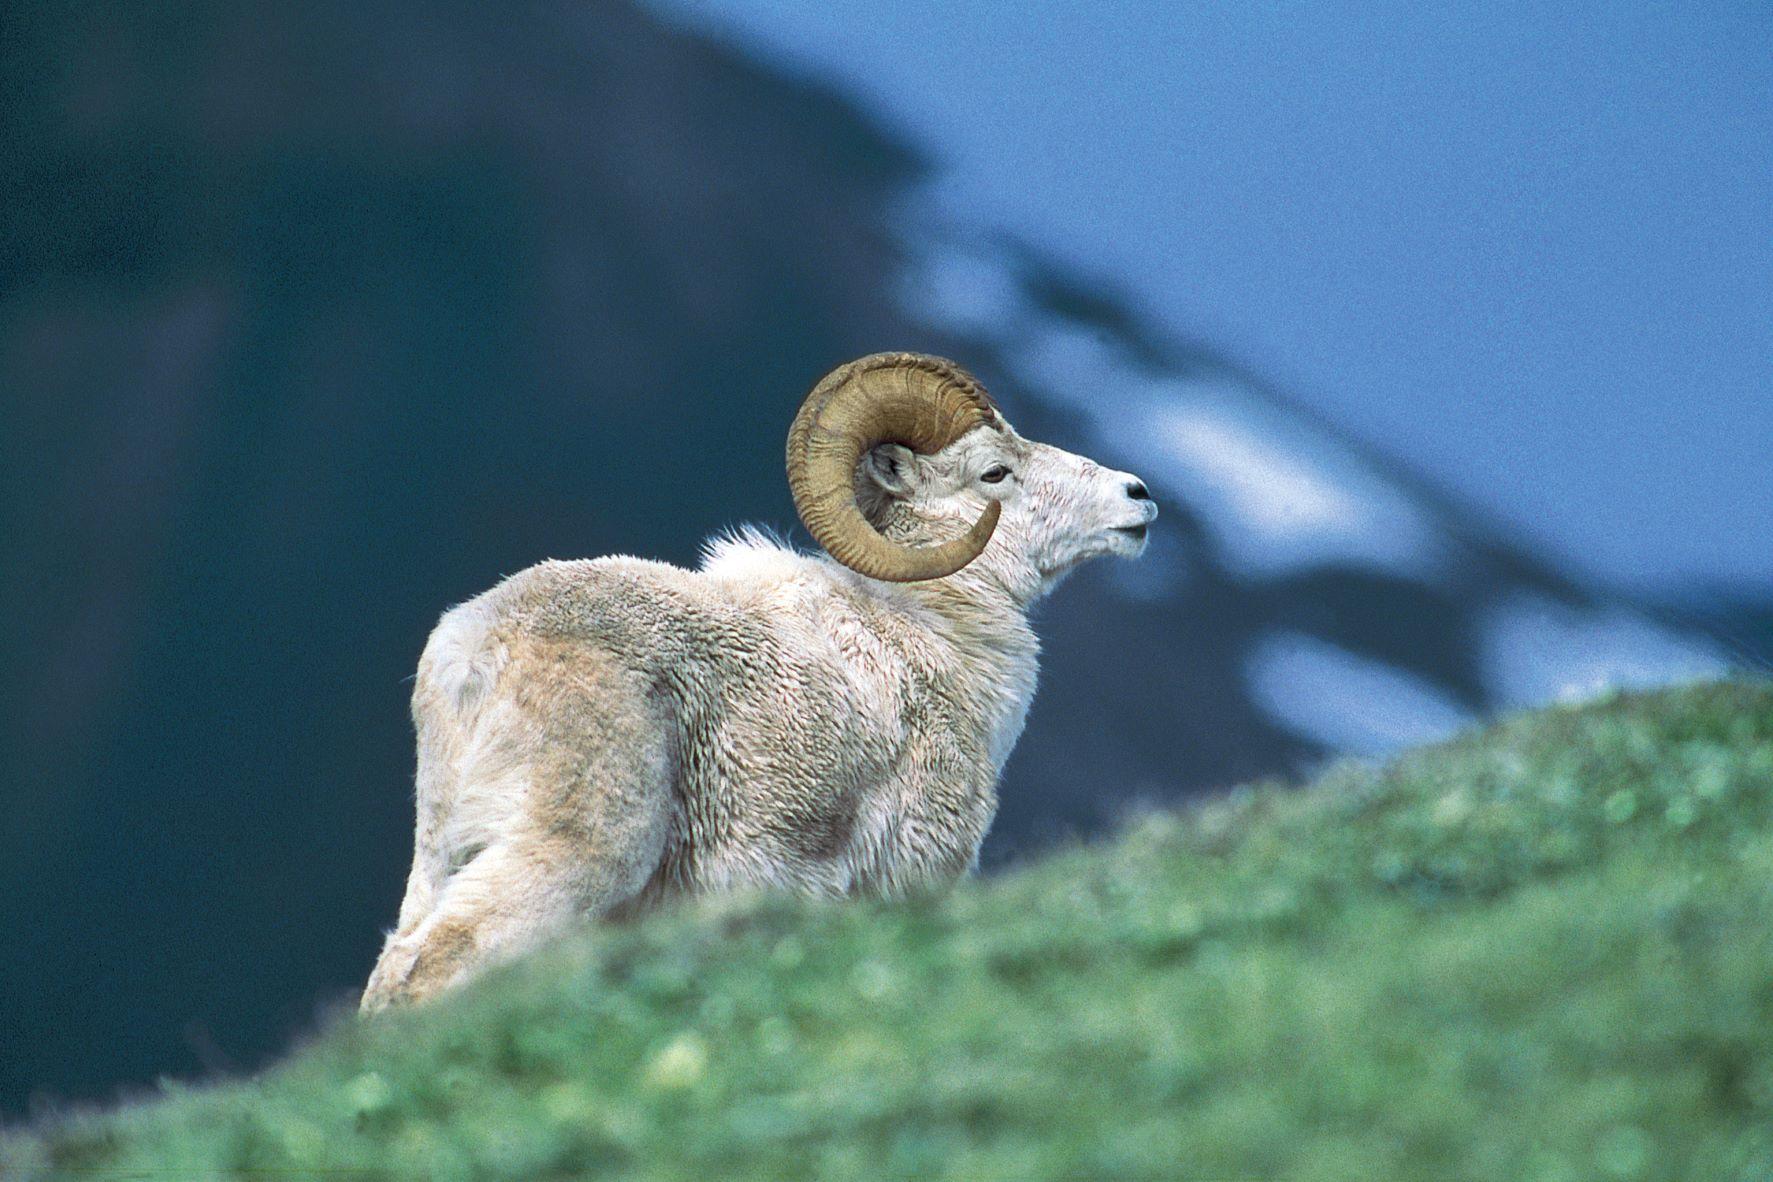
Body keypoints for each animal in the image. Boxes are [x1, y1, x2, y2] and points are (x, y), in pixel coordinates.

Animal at [360, 353, 1157, 1010]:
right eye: (994, 472)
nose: (1138, 497)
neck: (932, 628)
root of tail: (475, 654)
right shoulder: (913, 870)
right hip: (576, 855)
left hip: (441, 857)